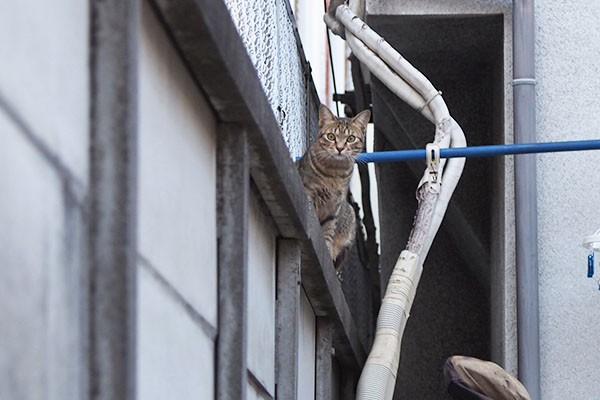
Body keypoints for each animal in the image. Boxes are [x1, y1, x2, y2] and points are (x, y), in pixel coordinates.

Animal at [296, 104, 370, 270]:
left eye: (350, 138)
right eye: (331, 136)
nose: (340, 148)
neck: (334, 172)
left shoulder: (334, 208)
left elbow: (328, 232)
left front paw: (328, 252)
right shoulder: (310, 194)